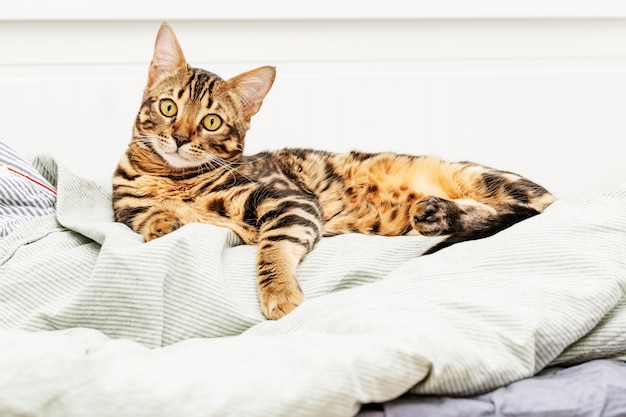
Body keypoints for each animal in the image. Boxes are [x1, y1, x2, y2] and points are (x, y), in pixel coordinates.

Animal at [111, 22, 552, 320]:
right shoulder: (124, 207)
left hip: (482, 178)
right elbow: (146, 216)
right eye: (168, 106)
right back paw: (435, 213)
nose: (180, 137)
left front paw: (279, 293)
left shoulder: (289, 200)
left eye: (211, 122)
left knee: (533, 210)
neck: (173, 179)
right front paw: (163, 222)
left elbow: (272, 249)